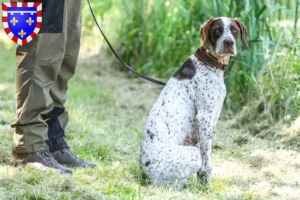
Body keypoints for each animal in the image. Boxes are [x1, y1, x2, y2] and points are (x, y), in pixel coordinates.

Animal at [141, 17, 248, 189]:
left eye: (234, 30)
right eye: (217, 29)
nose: (228, 42)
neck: (209, 63)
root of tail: (143, 173)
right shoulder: (204, 118)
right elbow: (207, 159)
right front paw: (206, 183)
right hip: (190, 153)